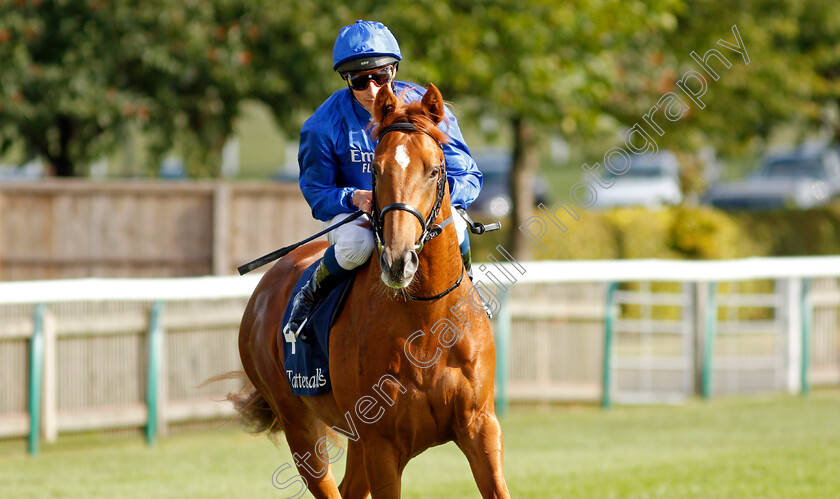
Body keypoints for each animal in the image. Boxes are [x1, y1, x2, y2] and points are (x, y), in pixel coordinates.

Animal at [230, 84, 508, 498]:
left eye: (435, 169)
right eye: (375, 170)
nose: (398, 260)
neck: (427, 323)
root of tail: (264, 290)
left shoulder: (480, 427)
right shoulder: (382, 444)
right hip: (301, 426)